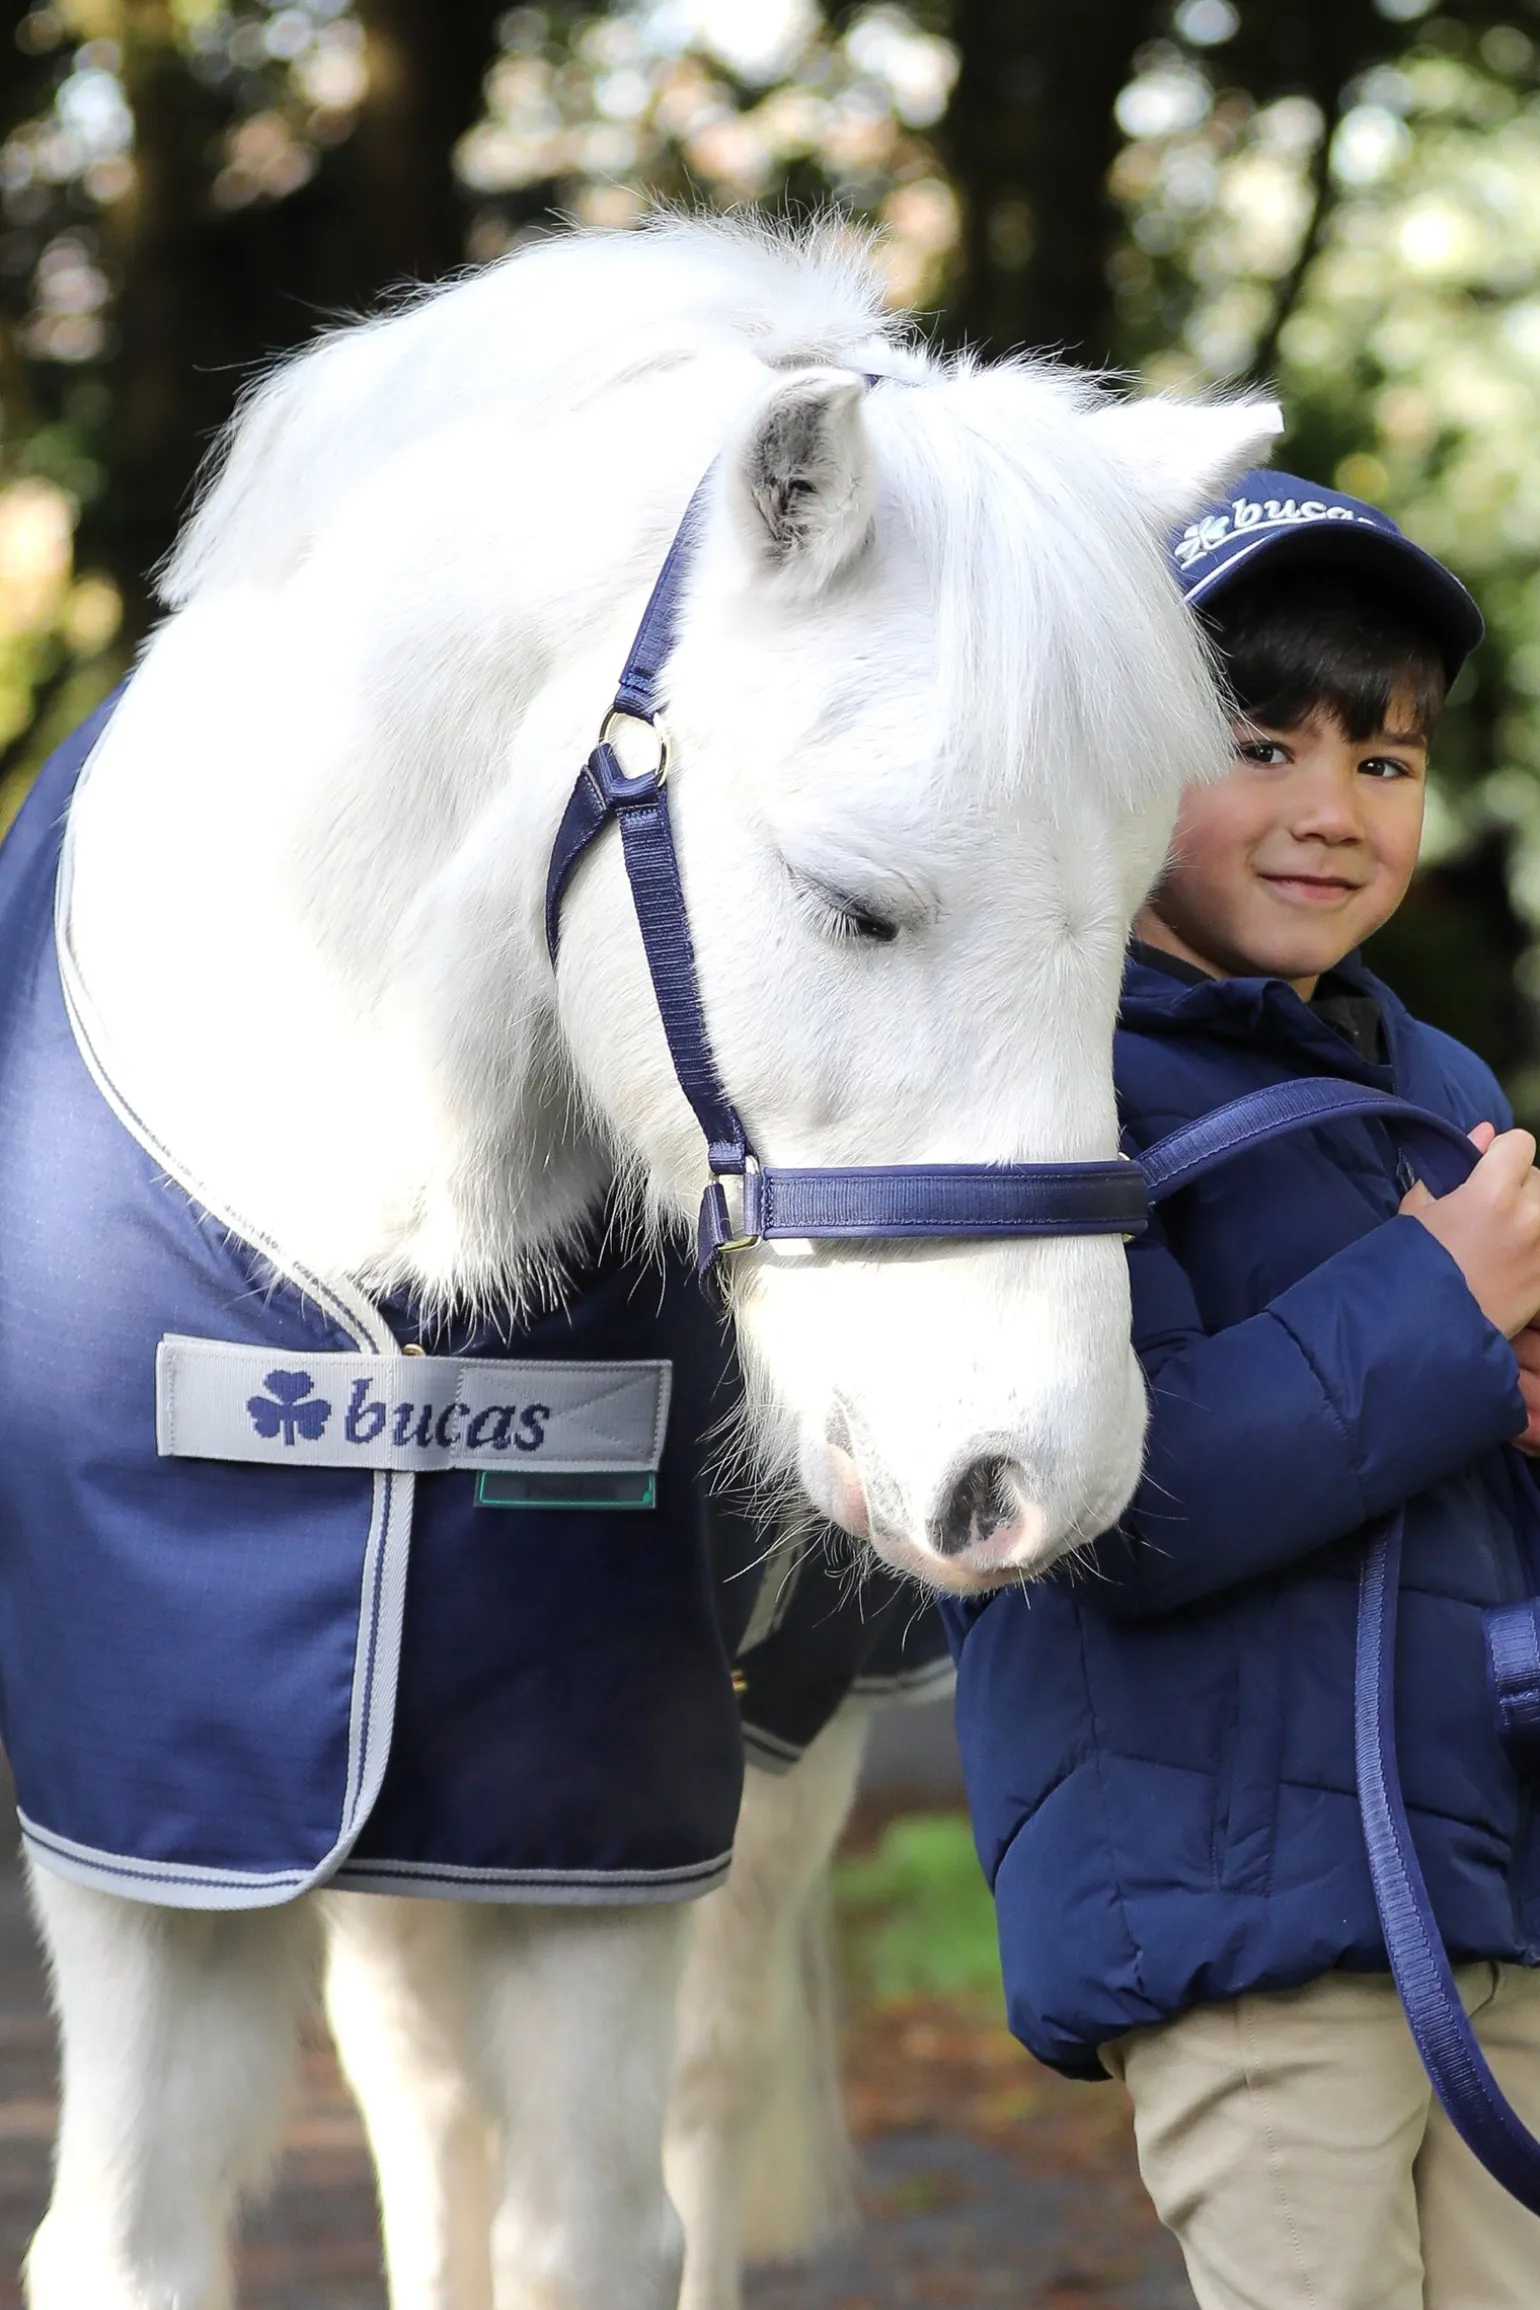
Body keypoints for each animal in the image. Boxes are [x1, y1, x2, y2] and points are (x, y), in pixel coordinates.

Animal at [5, 214, 1279, 2309]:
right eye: (857, 904)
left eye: (1127, 926)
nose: (1043, 1476)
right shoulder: (167, 1840)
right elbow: (138, 2237)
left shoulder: (597, 1842)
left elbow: (601, 2219)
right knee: (421, 2107)